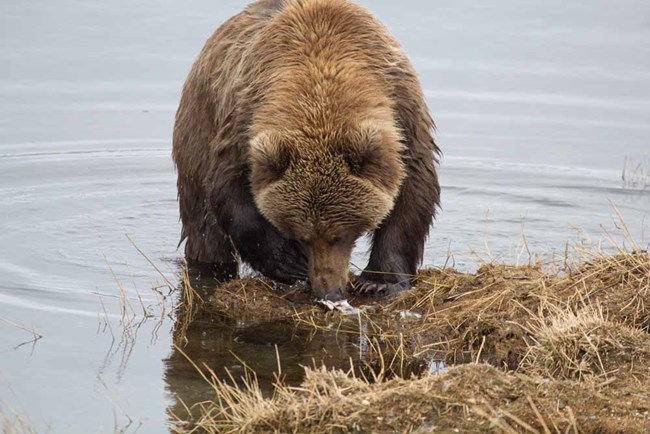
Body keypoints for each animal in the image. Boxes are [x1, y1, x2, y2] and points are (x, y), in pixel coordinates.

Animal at [172, 0, 438, 302]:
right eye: (303, 235)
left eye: (340, 234)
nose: (329, 291)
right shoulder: (242, 122)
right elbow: (228, 190)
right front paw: (289, 262)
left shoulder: (404, 113)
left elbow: (413, 192)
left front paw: (380, 281)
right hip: (196, 133)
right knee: (204, 227)